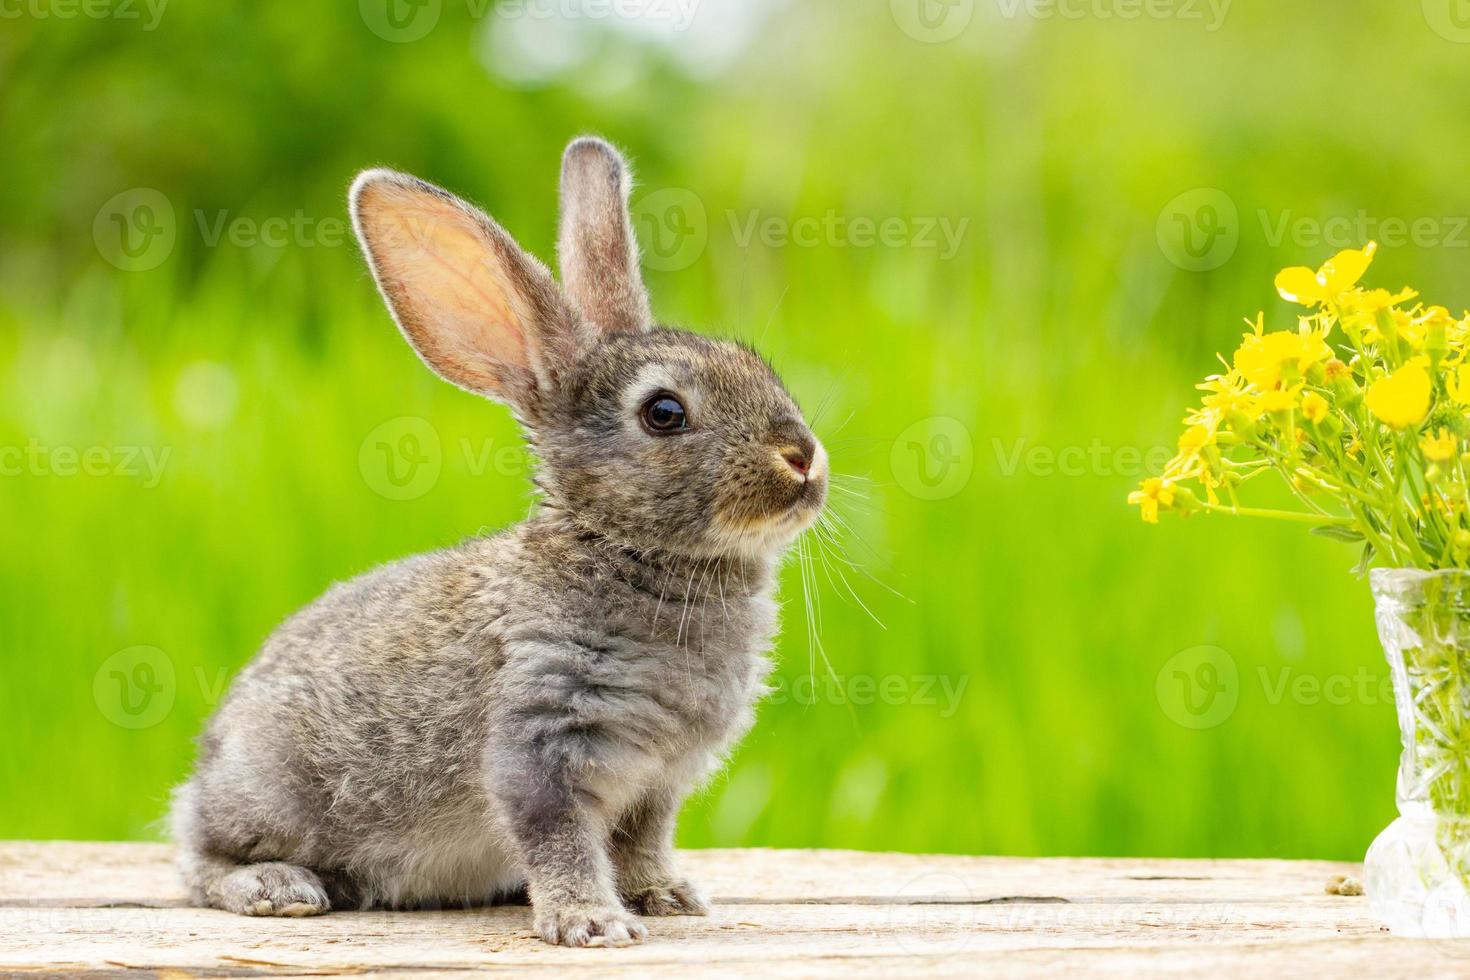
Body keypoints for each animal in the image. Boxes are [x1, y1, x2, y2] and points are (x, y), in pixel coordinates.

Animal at [169, 138, 829, 952]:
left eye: (760, 368)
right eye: (664, 413)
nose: (804, 459)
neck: (618, 547)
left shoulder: (657, 784)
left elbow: (641, 842)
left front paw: (667, 898)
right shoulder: (540, 742)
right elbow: (560, 838)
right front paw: (590, 922)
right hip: (266, 793)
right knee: (200, 862)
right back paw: (276, 887)